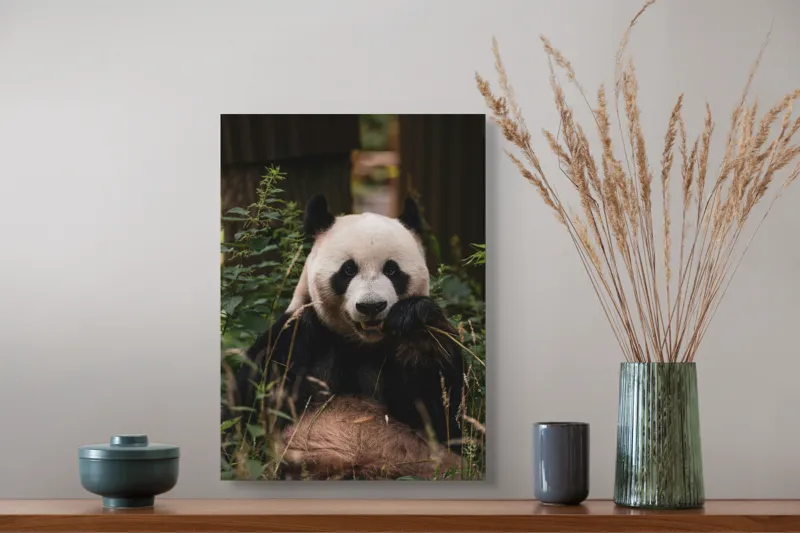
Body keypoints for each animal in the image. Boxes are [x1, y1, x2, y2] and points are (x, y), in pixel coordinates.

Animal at [227, 194, 465, 480]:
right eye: (348, 270)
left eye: (392, 270)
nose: (371, 306)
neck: (359, 344)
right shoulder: (295, 338)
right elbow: (246, 410)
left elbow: (445, 418)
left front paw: (413, 319)